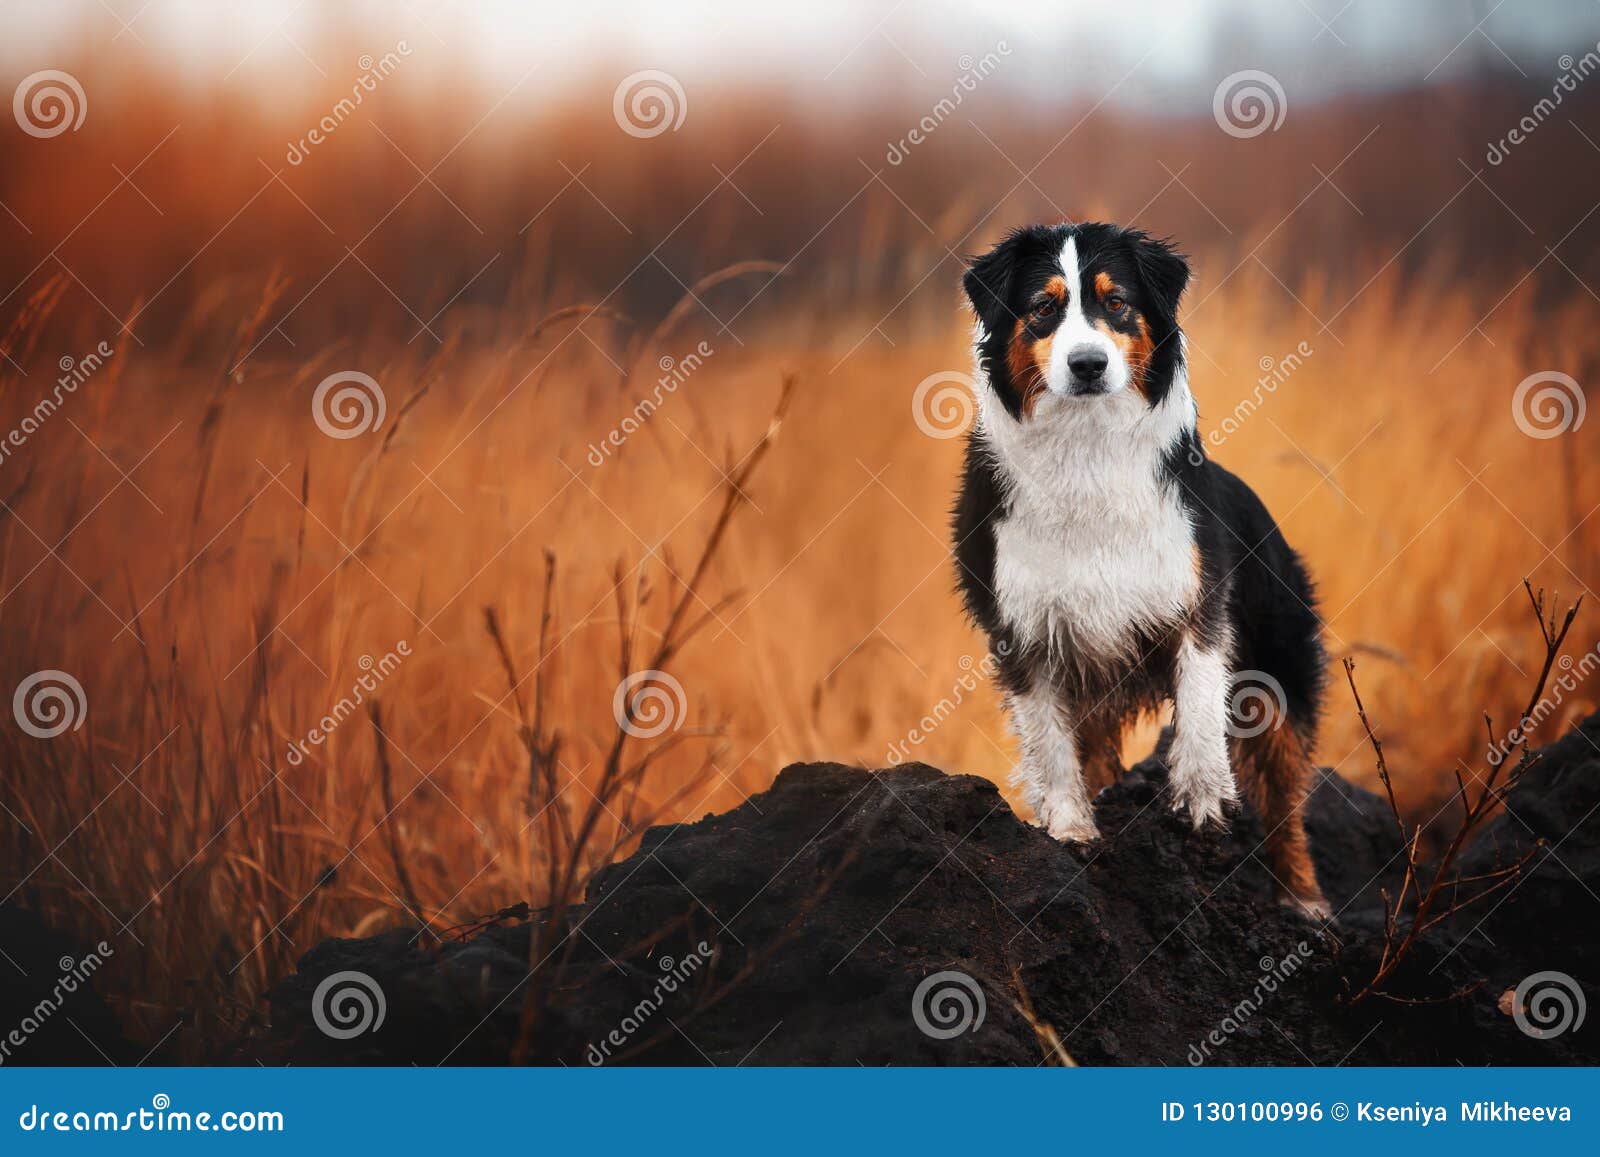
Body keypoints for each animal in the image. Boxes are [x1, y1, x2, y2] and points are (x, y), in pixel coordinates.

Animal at [953, 222, 1331, 921]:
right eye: (1043, 307)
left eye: (1117, 302)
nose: (1088, 364)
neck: (1085, 448)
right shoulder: (1023, 629)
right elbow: (1050, 744)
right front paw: (1071, 830)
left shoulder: (1198, 601)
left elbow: (1202, 703)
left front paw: (1201, 801)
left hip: (1281, 666)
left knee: (1285, 801)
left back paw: (1304, 901)